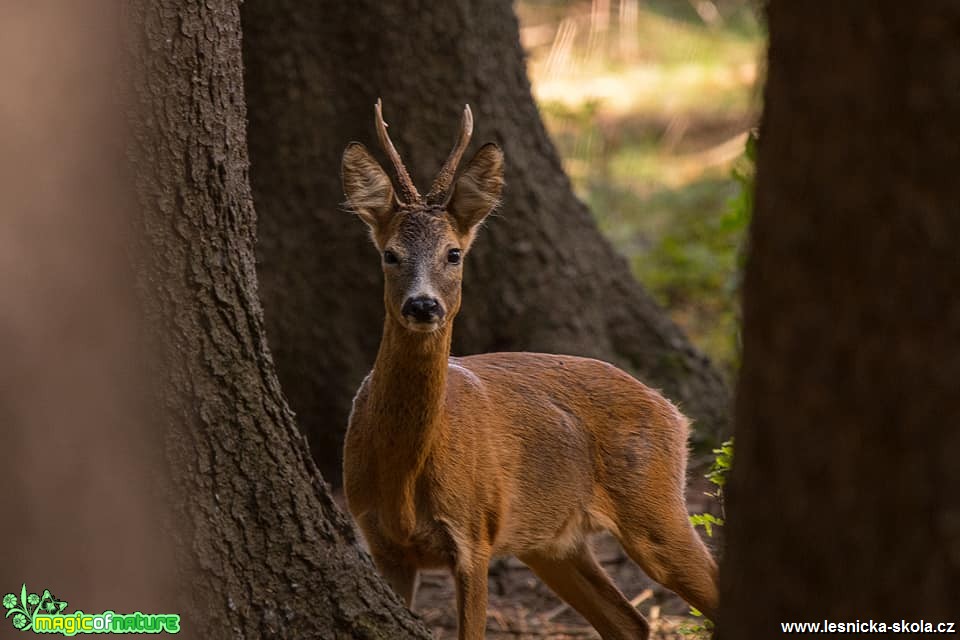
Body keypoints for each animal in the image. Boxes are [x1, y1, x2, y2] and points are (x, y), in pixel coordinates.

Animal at [342, 101, 716, 640]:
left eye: (453, 253)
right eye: (390, 254)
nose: (422, 305)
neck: (404, 476)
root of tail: (673, 412)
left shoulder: (474, 533)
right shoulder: (383, 544)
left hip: (655, 505)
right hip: (552, 543)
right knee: (630, 622)